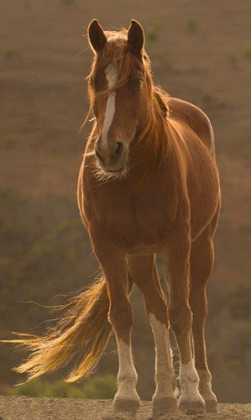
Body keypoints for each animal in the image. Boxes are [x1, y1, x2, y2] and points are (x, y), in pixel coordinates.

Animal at [6, 19, 221, 420]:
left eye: (135, 81)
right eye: (93, 80)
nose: (108, 151)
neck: (133, 179)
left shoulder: (177, 244)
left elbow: (182, 313)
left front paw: (191, 395)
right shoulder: (107, 246)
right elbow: (122, 313)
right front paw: (126, 394)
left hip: (201, 246)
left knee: (196, 310)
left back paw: (203, 391)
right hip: (140, 256)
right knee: (156, 309)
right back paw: (163, 395)